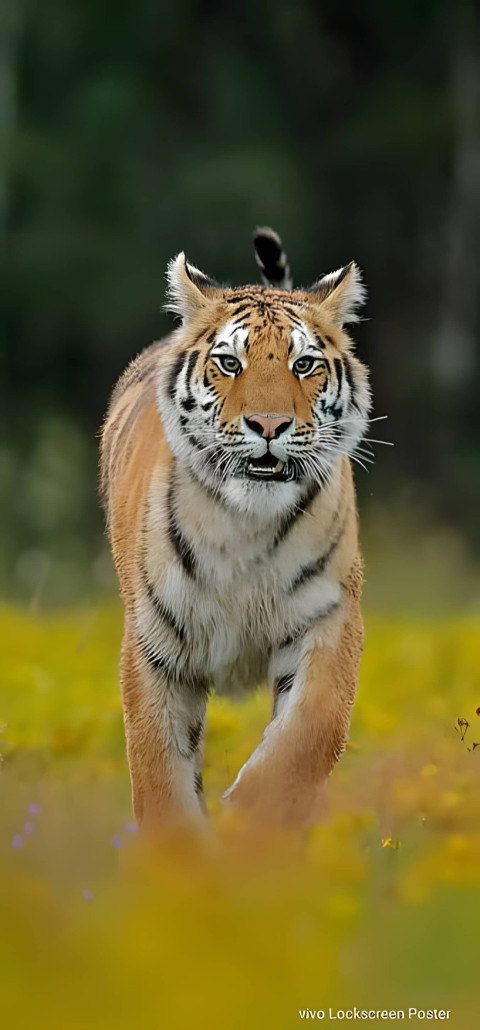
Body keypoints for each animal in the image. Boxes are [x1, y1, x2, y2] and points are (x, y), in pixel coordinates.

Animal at [100, 227, 371, 831]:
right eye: (228, 363)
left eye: (304, 365)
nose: (268, 425)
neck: (245, 524)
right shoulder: (154, 647)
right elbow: (158, 772)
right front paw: (183, 853)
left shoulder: (329, 620)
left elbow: (306, 736)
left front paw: (254, 822)